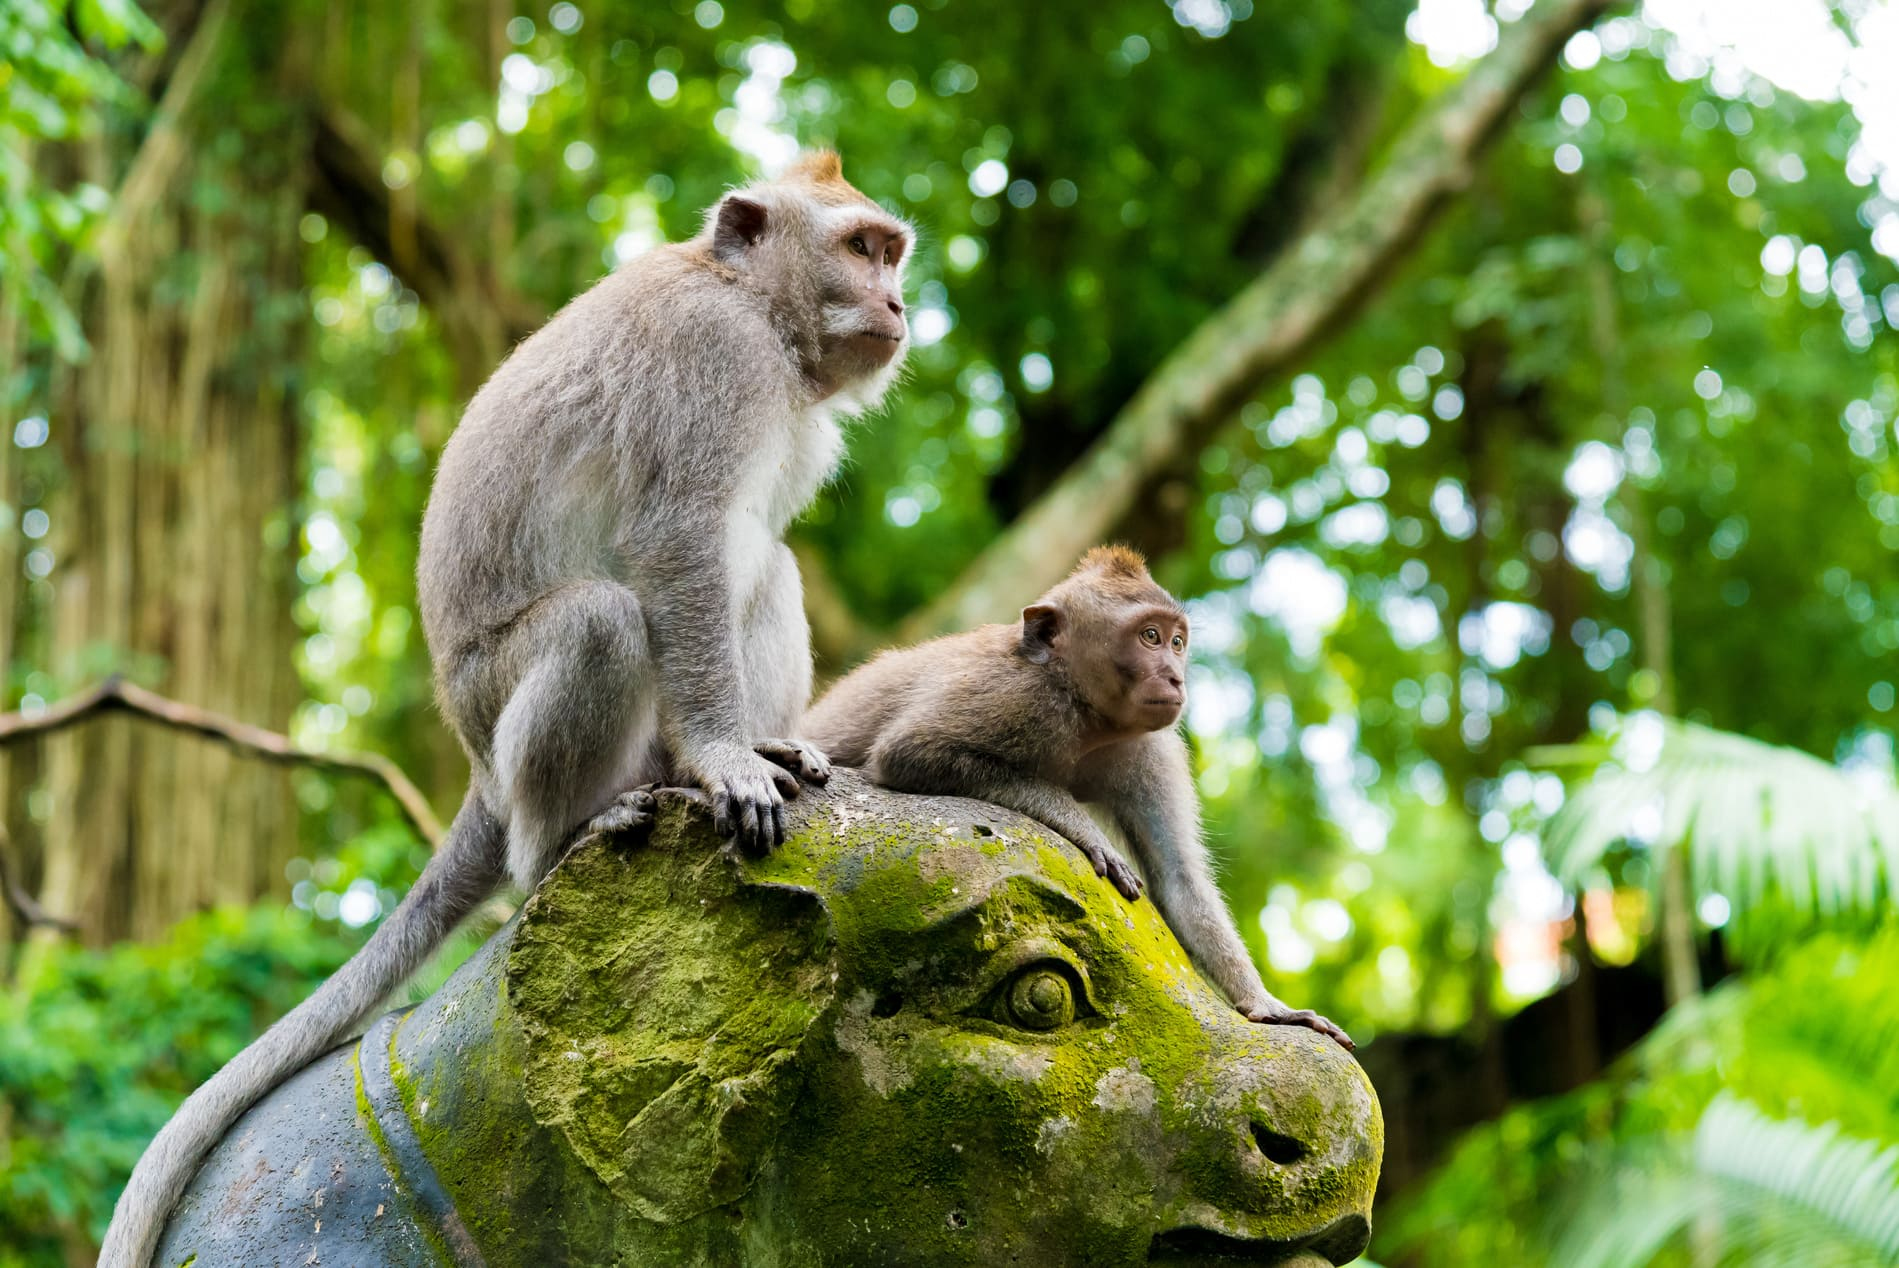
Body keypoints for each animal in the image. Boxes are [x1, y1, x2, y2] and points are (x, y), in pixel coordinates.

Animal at [102, 151, 912, 1266]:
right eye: (860, 248)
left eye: (890, 251)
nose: (899, 302)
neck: (755, 306)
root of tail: (480, 772)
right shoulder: (713, 362)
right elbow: (678, 540)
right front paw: (723, 756)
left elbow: (732, 556)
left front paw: (744, 747)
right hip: (498, 709)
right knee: (606, 622)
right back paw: (564, 837)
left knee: (764, 566)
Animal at [802, 547, 1353, 1050]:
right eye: (1150, 637)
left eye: (1178, 642)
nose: (1176, 677)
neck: (1085, 714)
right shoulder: (1013, 694)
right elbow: (909, 752)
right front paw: (1087, 832)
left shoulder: (1151, 749)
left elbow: (1178, 878)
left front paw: (1267, 1005)